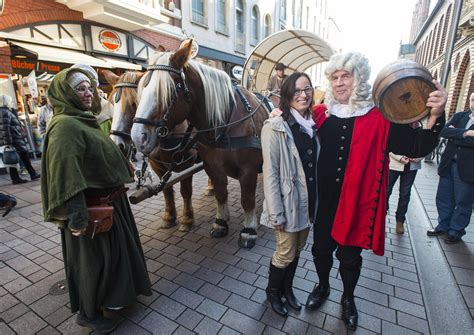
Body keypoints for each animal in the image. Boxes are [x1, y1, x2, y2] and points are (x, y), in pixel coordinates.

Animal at [103, 69, 198, 232]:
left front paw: (187, 219)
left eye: (134, 103)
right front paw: (169, 216)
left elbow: (185, 190)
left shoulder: (187, 163)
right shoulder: (157, 165)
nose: (117, 145)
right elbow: (167, 190)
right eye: (112, 104)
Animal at [131, 40, 268, 249]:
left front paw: (249, 230)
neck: (225, 122)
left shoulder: (248, 170)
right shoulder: (212, 166)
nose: (138, 137)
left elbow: (247, 199)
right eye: (142, 87)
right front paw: (221, 222)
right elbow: (221, 193)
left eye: (169, 90)